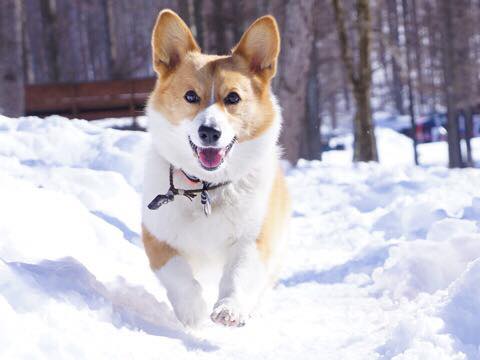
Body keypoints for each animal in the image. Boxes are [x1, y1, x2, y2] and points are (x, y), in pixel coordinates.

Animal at [141, 9, 290, 330]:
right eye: (190, 96)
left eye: (233, 98)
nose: (209, 132)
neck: (205, 188)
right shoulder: (157, 237)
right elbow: (178, 274)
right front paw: (192, 310)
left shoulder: (254, 239)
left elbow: (238, 276)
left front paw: (229, 310)